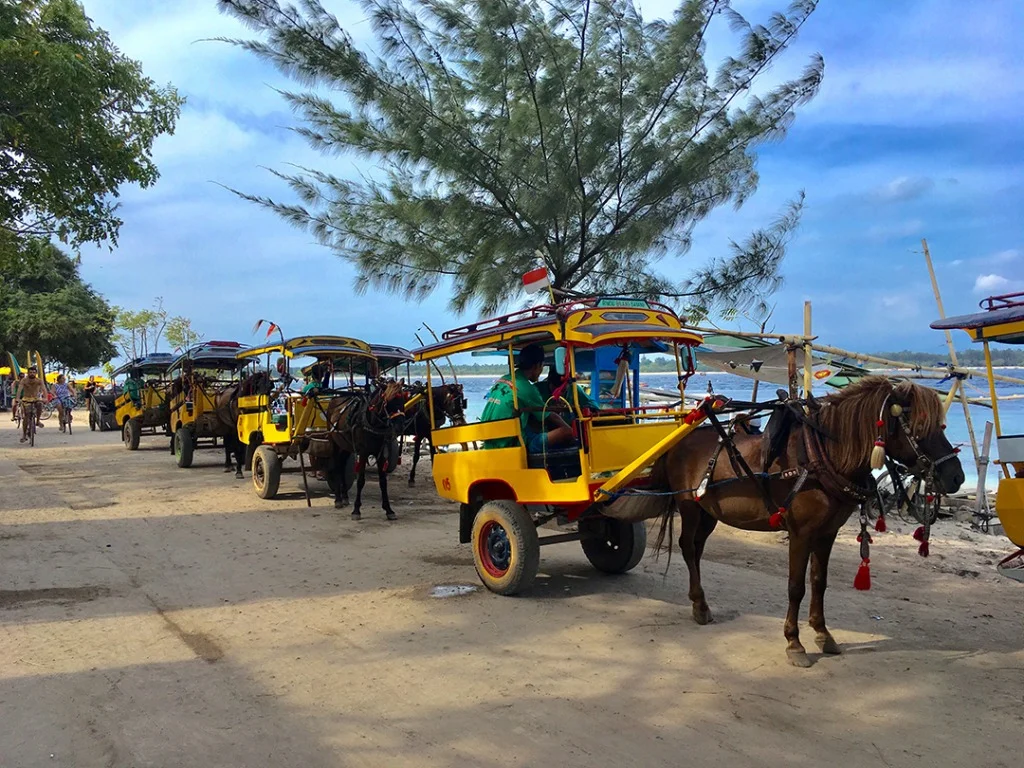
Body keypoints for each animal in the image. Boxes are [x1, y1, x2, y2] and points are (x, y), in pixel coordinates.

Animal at [322, 380, 409, 520]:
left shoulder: (380, 454)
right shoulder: (363, 453)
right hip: (334, 443)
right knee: (336, 466)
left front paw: (388, 509)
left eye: (402, 399)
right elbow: (361, 481)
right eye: (389, 401)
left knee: (342, 466)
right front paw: (356, 510)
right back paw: (338, 499)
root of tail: (334, 399)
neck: (373, 422)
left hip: (346, 446)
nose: (400, 426)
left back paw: (345, 497)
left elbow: (383, 482)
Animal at [608, 376, 964, 668]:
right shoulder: (800, 533)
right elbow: (796, 586)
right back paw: (698, 604)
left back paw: (702, 604)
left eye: (943, 425)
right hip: (690, 508)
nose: (956, 477)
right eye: (919, 426)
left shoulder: (827, 533)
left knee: (695, 549)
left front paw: (823, 634)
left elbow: (819, 582)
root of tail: (680, 439)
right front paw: (794, 643)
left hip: (709, 511)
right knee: (686, 547)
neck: (821, 458)